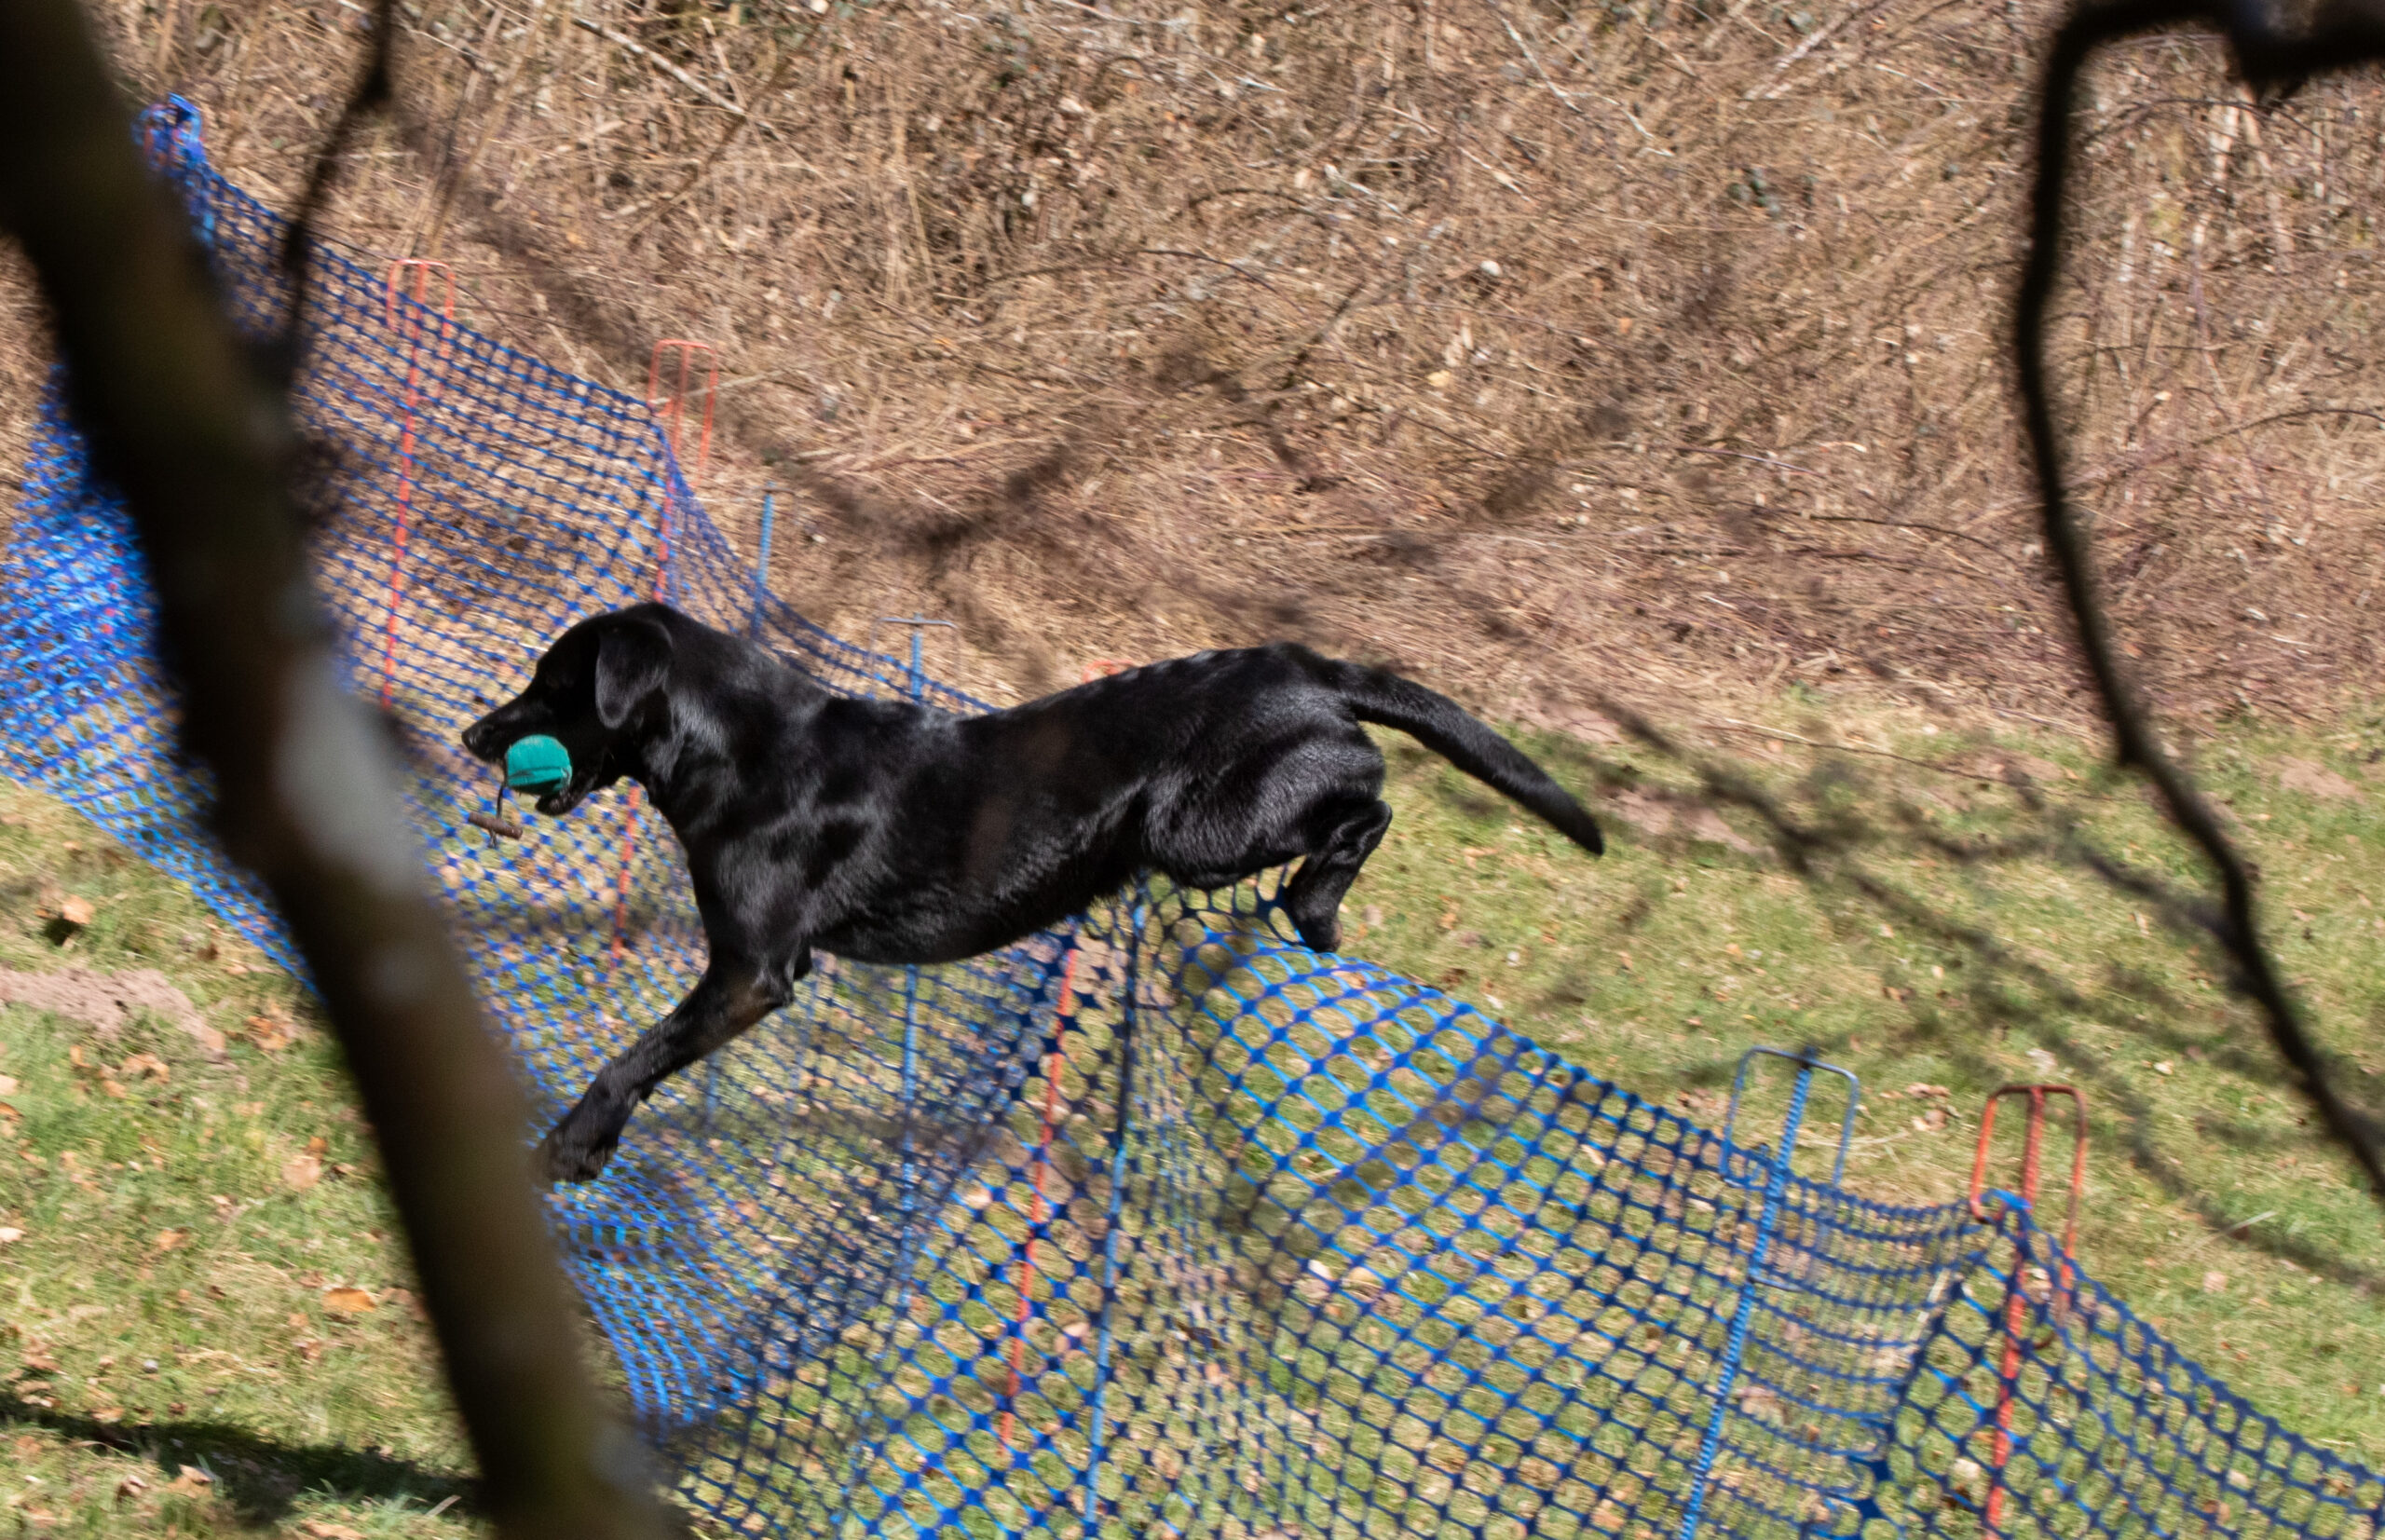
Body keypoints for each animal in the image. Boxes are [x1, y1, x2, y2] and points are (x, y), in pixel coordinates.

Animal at [462, 602, 1602, 1183]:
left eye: (553, 684)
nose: (475, 735)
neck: (737, 749)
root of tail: (1309, 667)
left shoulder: (754, 971)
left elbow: (636, 1054)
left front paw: (569, 1146)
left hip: (1198, 828)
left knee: (1368, 800)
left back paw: (1317, 906)